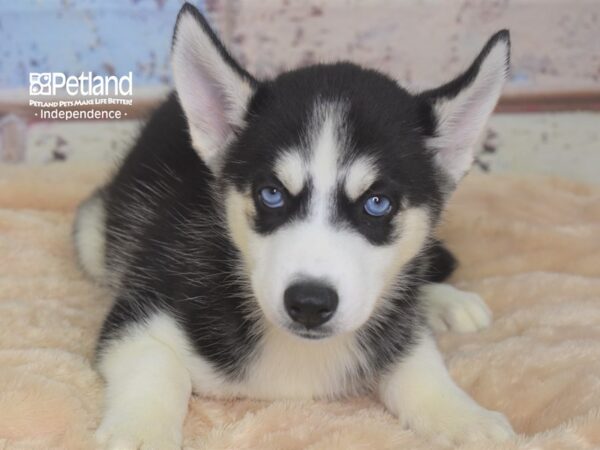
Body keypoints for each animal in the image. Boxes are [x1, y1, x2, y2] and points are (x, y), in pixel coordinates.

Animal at [74, 3, 516, 446]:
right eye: (272, 194)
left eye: (377, 203)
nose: (310, 302)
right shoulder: (140, 314)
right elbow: (156, 367)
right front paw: (141, 430)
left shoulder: (398, 331)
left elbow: (419, 359)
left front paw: (464, 417)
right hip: (92, 234)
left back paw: (447, 300)